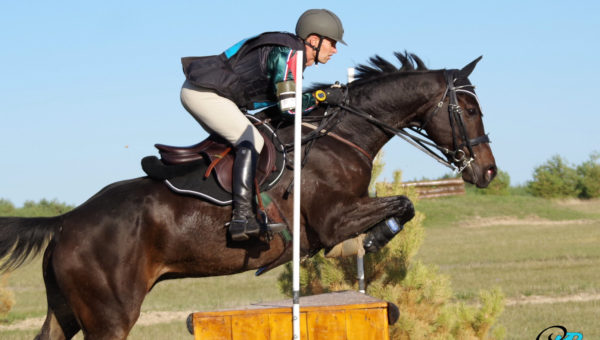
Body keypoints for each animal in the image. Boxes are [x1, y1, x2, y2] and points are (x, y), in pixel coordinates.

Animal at [0, 52, 496, 340]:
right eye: (470, 109)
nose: (488, 171)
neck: (342, 135)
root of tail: (66, 221)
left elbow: (402, 206)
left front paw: (373, 242)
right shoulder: (333, 221)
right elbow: (402, 205)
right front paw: (375, 238)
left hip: (66, 312)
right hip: (109, 318)